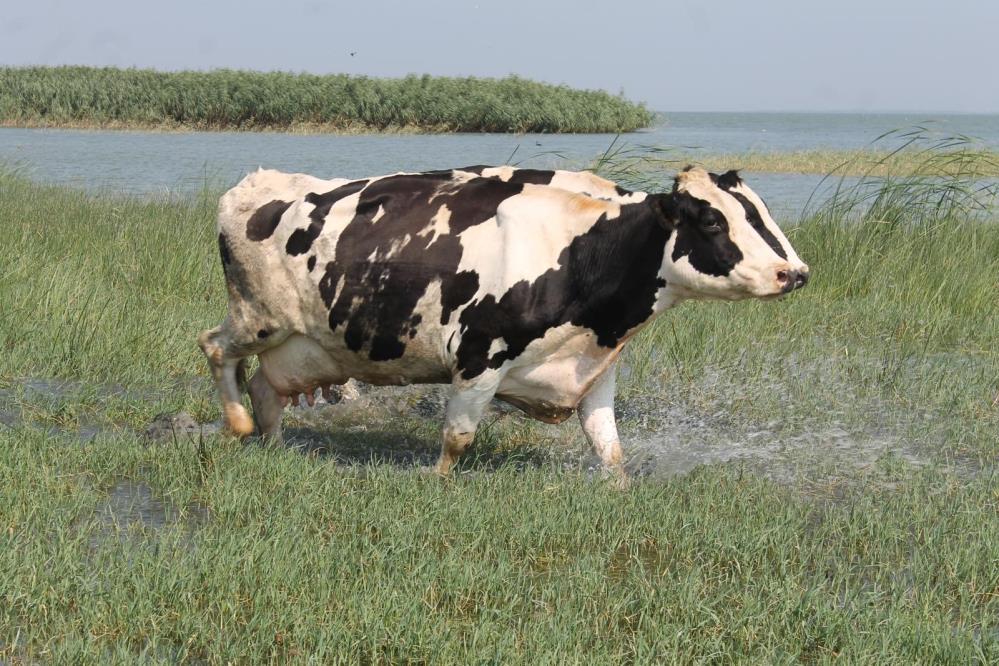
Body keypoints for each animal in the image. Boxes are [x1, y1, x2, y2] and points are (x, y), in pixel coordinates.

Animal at [199, 166, 808, 478]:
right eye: (712, 220)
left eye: (759, 210)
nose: (794, 272)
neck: (581, 250)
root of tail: (259, 180)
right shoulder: (477, 356)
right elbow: (457, 439)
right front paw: (436, 485)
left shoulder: (595, 370)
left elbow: (609, 447)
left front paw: (618, 490)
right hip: (259, 318)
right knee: (214, 347)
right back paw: (239, 424)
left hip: (305, 347)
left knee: (267, 387)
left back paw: (277, 446)